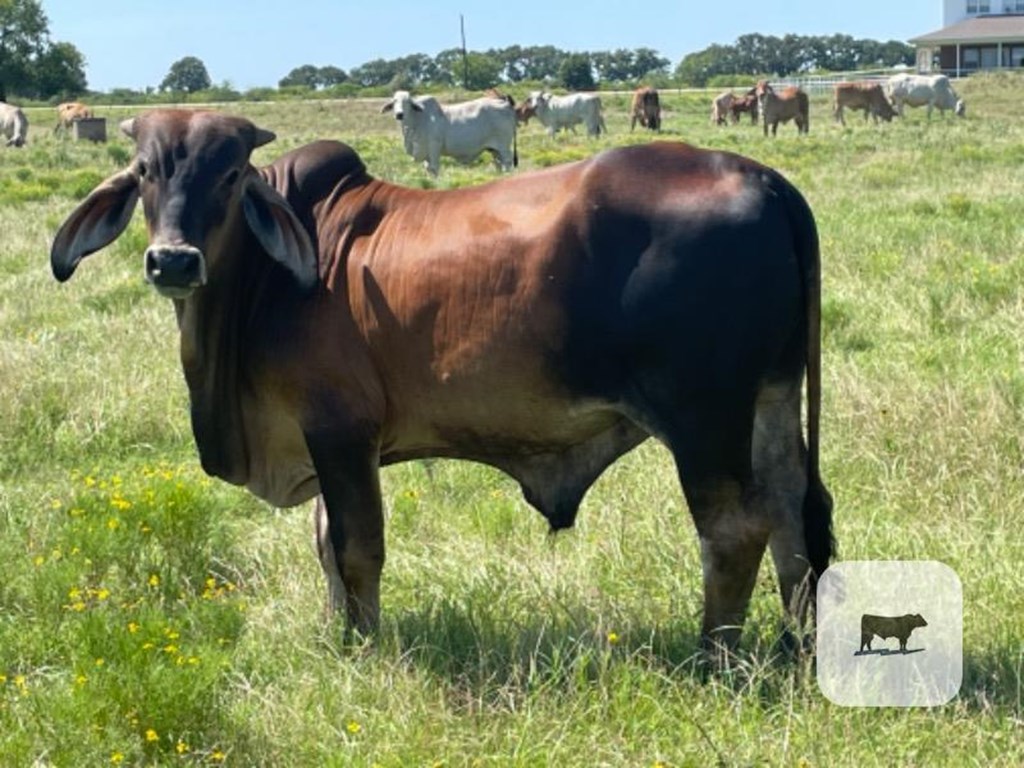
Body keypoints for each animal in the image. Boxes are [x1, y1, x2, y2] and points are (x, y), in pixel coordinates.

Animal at [49, 109, 831, 655]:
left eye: (232, 173)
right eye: (144, 171)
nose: (173, 261)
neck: (265, 281)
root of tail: (763, 178)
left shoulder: (340, 430)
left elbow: (356, 546)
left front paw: (363, 648)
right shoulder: (328, 442)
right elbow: (326, 541)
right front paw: (337, 635)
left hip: (703, 415)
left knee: (734, 529)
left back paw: (713, 658)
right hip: (771, 398)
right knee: (794, 511)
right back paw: (795, 646)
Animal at [380, 90, 516, 176]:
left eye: (408, 102)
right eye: (394, 101)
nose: (399, 114)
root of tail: (505, 104)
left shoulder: (434, 148)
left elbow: (434, 169)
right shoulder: (425, 153)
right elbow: (428, 170)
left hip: (504, 147)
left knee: (507, 163)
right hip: (494, 149)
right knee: (499, 164)